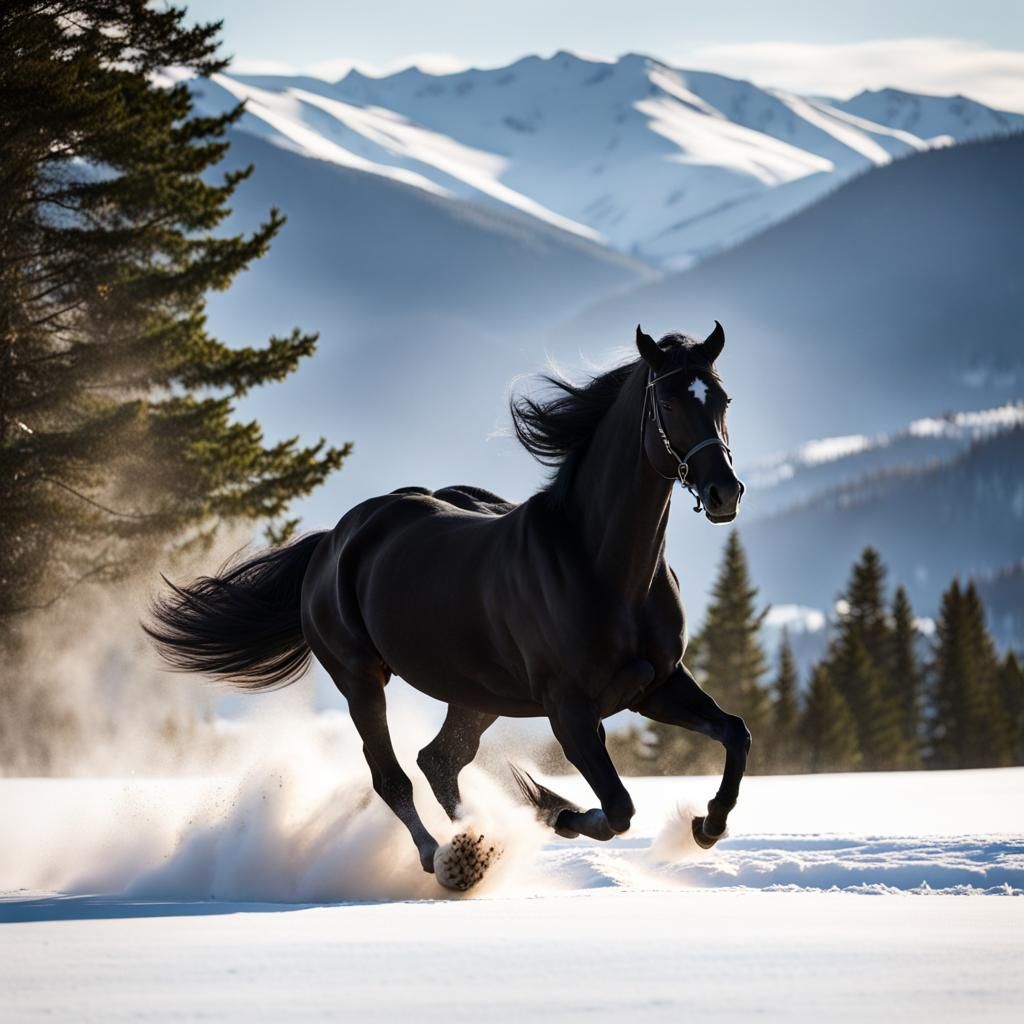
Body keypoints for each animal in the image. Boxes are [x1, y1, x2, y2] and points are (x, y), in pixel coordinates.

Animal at [145, 322, 751, 888]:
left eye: (722, 400)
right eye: (669, 402)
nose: (724, 493)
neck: (604, 567)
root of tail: (334, 539)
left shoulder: (656, 684)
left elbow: (735, 733)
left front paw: (706, 825)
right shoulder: (570, 708)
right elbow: (619, 808)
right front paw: (559, 812)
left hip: (478, 694)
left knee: (438, 762)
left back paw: (481, 843)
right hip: (360, 679)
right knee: (393, 776)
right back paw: (449, 857)